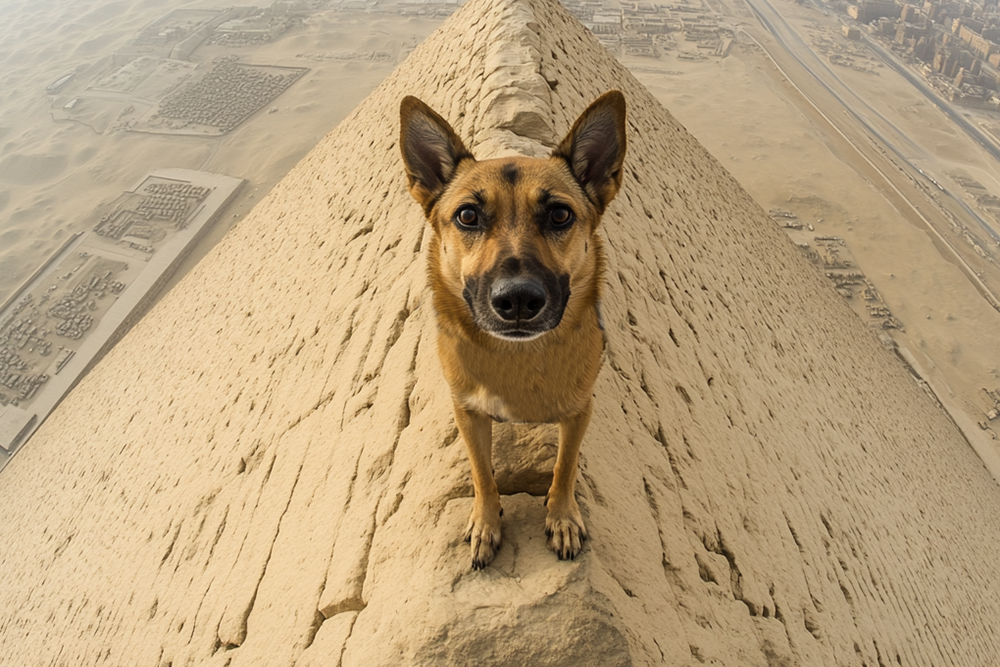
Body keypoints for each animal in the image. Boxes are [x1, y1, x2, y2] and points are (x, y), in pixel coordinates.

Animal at [398, 90, 624, 568]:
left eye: (559, 215)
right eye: (467, 215)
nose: (517, 300)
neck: (517, 360)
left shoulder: (579, 412)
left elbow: (564, 466)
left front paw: (562, 517)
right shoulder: (467, 412)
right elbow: (482, 472)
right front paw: (486, 524)